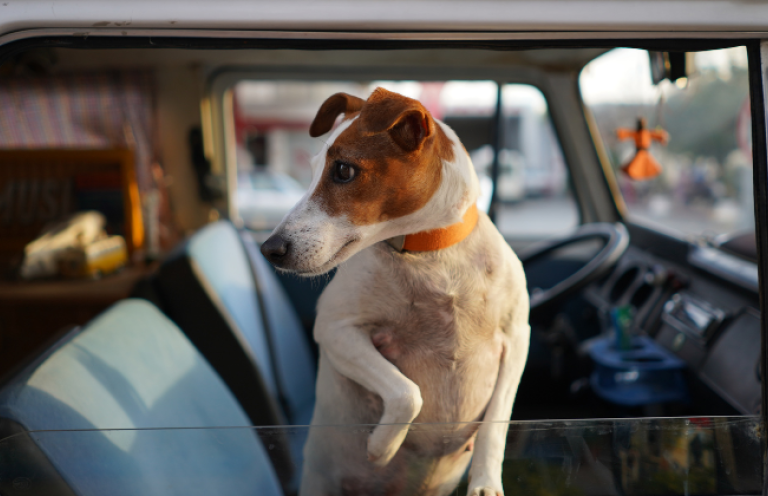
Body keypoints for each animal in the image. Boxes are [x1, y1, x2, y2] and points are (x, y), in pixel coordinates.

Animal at [260, 89, 532, 496]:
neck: (430, 255)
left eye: (343, 170)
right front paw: (381, 447)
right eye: (312, 170)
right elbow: (407, 393)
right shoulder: (335, 330)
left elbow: (496, 422)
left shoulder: (516, 339)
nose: (269, 249)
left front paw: (485, 482)